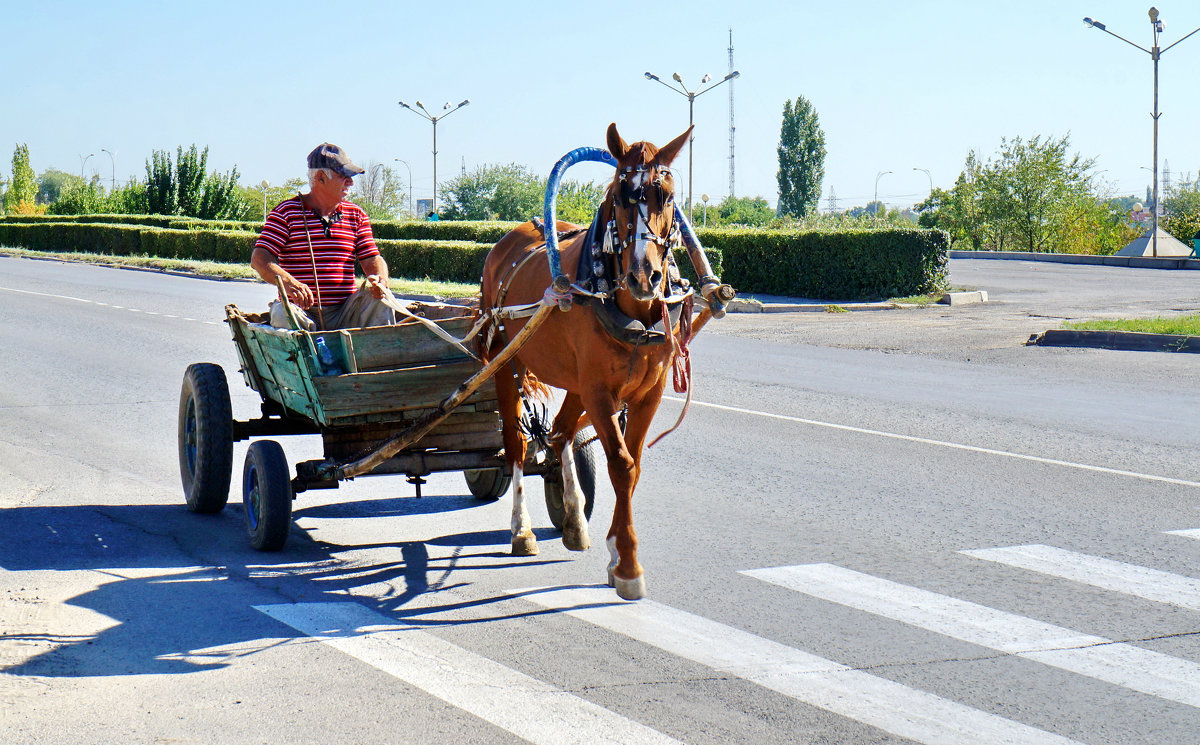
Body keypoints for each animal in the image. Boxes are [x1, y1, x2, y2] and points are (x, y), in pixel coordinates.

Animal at [480, 121, 720, 597]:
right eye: (621, 197)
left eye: (667, 196)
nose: (645, 276)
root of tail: (511, 238)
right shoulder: (600, 392)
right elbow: (621, 466)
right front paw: (627, 564)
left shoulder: (647, 393)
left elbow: (634, 464)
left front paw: (614, 549)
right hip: (506, 361)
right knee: (517, 445)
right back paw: (522, 530)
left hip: (574, 383)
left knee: (559, 433)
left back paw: (573, 517)